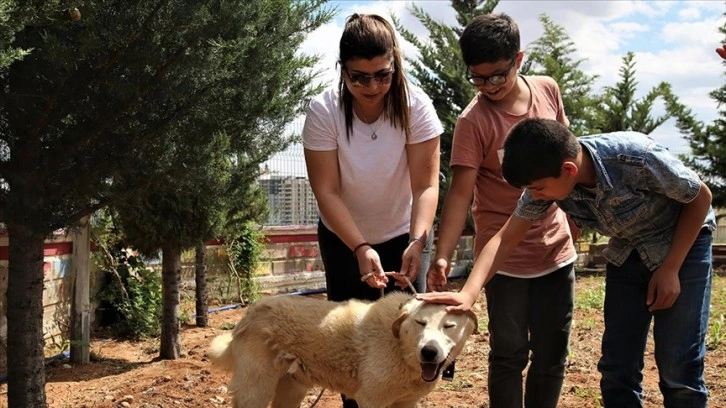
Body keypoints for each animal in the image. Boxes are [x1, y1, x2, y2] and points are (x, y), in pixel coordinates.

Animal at [209, 292, 478, 406]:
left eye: (449, 326)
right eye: (420, 323)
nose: (429, 352)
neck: (401, 349)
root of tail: (250, 311)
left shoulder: (406, 403)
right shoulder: (371, 402)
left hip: (292, 389)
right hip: (257, 390)